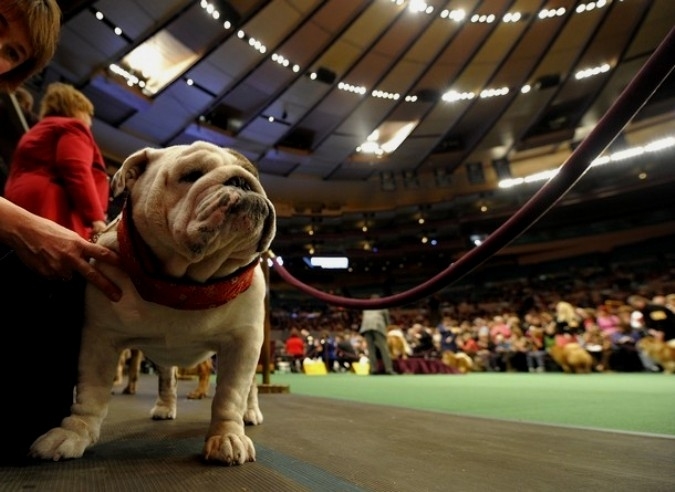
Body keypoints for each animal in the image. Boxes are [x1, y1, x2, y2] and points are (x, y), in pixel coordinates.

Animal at [30, 141, 276, 466]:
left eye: (252, 174)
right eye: (191, 174)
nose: (242, 181)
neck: (187, 283)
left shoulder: (244, 342)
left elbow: (230, 394)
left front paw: (227, 436)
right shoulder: (99, 338)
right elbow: (90, 392)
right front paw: (73, 432)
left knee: (250, 389)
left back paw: (250, 412)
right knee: (167, 378)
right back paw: (165, 406)